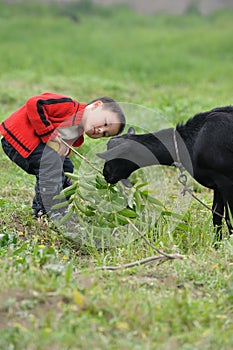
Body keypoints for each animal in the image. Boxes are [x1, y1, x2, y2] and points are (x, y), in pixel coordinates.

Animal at [98, 105, 233, 239]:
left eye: (116, 155)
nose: (106, 173)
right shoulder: (217, 183)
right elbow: (216, 214)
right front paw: (217, 242)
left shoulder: (225, 180)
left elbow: (229, 217)